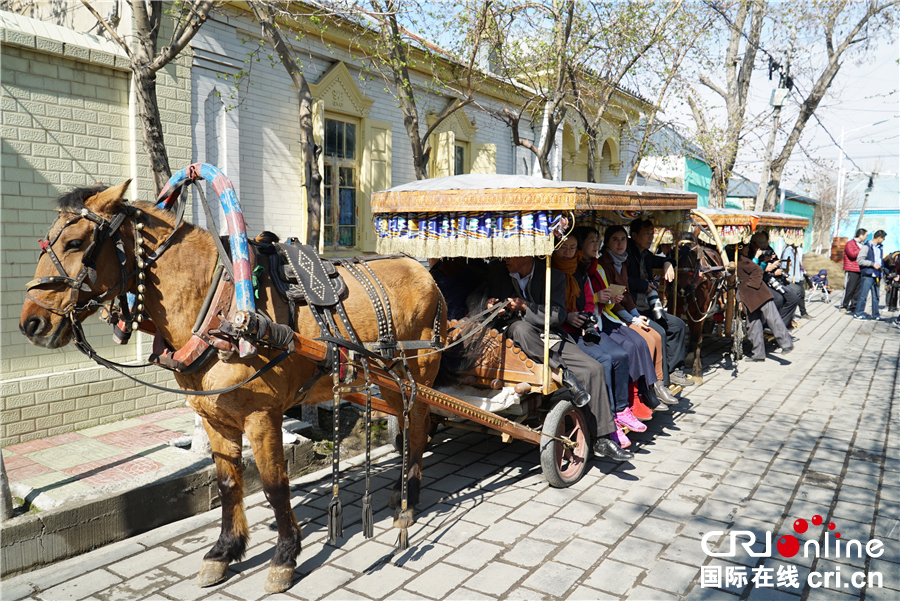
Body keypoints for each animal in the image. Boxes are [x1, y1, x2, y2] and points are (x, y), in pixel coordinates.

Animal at [20, 180, 442, 592]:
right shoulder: (214, 416)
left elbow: (274, 485)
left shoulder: (262, 416)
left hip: (416, 373)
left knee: (418, 426)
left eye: (75, 243)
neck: (219, 311)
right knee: (409, 426)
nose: (31, 324)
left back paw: (408, 501)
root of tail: (419, 267)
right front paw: (224, 550)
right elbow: (227, 482)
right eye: (44, 242)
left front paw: (284, 556)